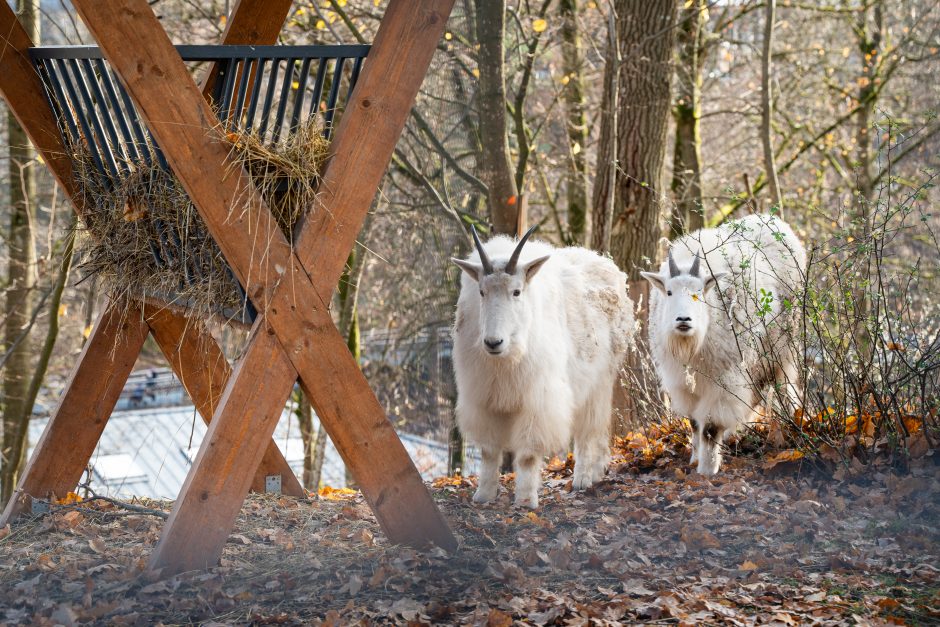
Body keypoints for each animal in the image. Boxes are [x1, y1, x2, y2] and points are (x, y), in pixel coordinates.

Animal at [452, 228, 636, 508]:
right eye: (482, 292)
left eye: (516, 291)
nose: (493, 342)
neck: (507, 358)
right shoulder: (484, 398)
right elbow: (489, 451)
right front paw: (483, 496)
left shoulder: (537, 401)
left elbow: (528, 455)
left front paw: (526, 500)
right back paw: (597, 471)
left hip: (601, 379)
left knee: (588, 429)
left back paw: (583, 478)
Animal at [640, 215, 808, 476]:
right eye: (668, 292)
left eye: (699, 292)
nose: (683, 320)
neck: (693, 346)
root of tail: (780, 224)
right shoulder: (683, 382)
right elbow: (694, 421)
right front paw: (695, 459)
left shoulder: (724, 380)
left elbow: (710, 426)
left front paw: (707, 469)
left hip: (783, 347)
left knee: (783, 385)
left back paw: (788, 423)